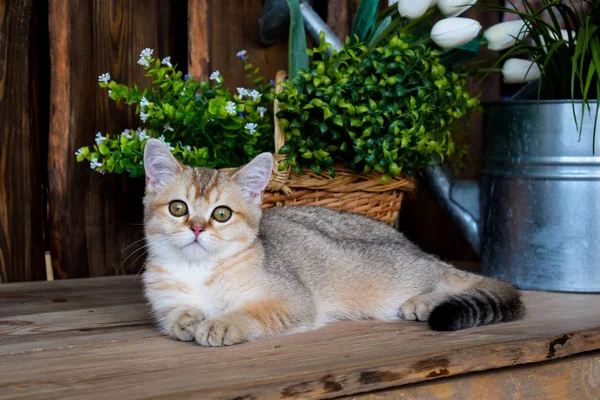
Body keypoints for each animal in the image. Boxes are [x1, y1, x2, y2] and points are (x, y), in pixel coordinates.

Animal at [143, 139, 524, 346]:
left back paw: (423, 302)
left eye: (221, 214)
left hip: (397, 278)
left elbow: (252, 311)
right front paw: (189, 320)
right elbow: (173, 316)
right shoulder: (164, 302)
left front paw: (222, 323)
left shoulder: (292, 300)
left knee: (444, 281)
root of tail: (419, 250)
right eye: (178, 208)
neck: (198, 270)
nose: (196, 228)